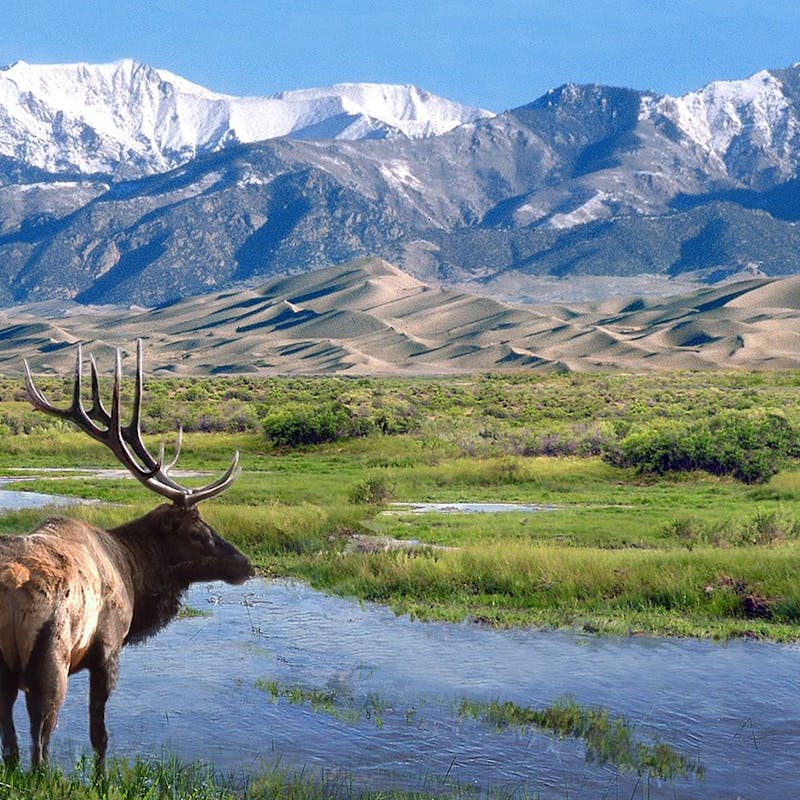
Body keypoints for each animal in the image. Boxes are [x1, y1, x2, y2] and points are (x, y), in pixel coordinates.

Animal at [0, 341, 253, 769]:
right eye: (197, 533)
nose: (246, 565)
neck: (135, 572)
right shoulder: (108, 647)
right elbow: (99, 735)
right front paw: (101, 777)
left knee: (12, 746)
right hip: (50, 659)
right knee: (39, 747)